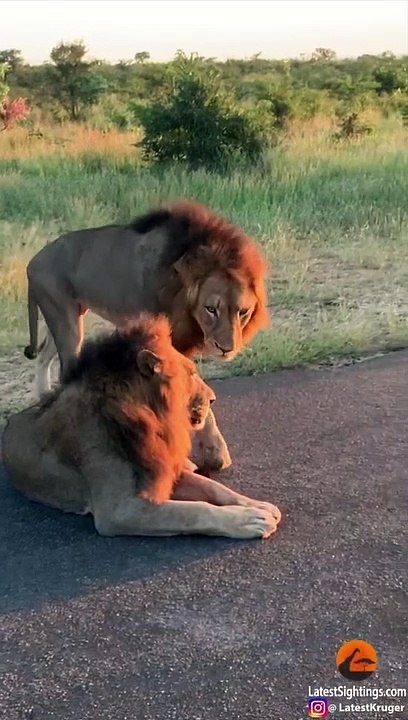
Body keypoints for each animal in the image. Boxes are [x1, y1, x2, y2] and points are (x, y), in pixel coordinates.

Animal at [3, 315, 281, 539]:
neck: (154, 420)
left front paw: (258, 506)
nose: (213, 397)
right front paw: (250, 521)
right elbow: (194, 511)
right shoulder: (120, 510)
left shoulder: (161, 469)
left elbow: (214, 487)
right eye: (191, 373)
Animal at [22, 200, 270, 473]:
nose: (226, 348)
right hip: (67, 322)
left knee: (43, 356)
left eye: (243, 312)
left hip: (65, 317)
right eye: (211, 309)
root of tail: (33, 260)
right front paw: (213, 453)